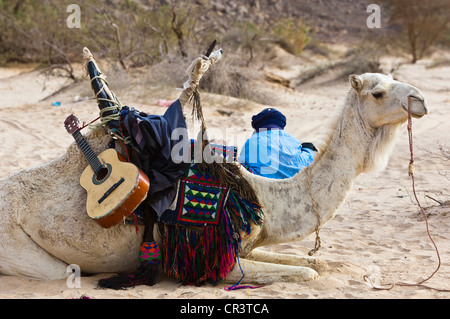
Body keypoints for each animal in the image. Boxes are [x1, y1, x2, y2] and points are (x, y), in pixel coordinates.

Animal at [0, 49, 428, 284]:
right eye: (378, 92)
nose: (420, 99)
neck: (263, 195)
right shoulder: (217, 262)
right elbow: (306, 272)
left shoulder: (249, 245)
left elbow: (315, 262)